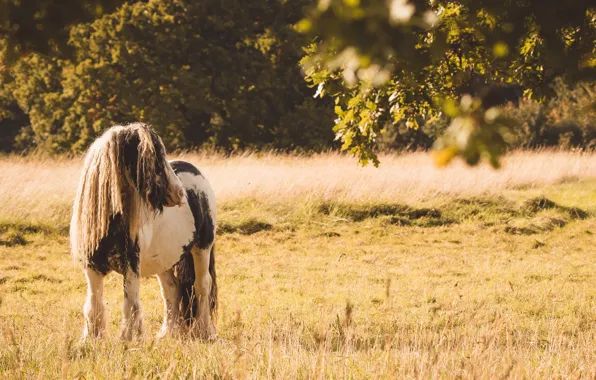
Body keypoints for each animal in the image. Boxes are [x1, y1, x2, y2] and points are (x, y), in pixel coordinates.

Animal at [70, 122, 218, 342]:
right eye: (154, 159)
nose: (180, 194)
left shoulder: (131, 267)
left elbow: (130, 304)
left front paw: (128, 339)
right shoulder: (92, 268)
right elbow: (94, 304)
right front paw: (91, 340)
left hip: (202, 248)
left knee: (202, 286)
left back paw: (204, 331)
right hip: (165, 259)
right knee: (171, 289)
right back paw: (166, 333)